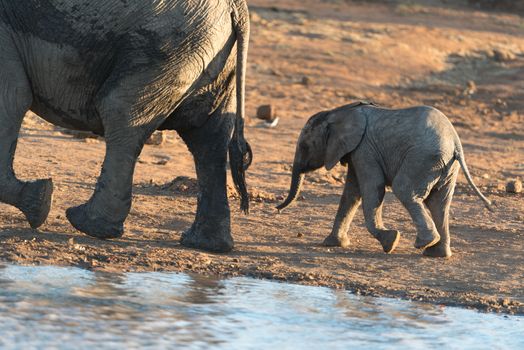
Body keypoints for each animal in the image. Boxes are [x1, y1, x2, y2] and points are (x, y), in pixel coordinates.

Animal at [0, 0, 252, 252]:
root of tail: (237, 8)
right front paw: (38, 202)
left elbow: (14, 97)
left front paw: (39, 202)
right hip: (206, 57)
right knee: (209, 142)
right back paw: (206, 244)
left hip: (166, 48)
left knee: (122, 114)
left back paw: (86, 223)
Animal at [278, 101, 492, 258]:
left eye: (305, 146)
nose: (277, 208)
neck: (337, 112)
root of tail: (456, 144)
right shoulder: (357, 151)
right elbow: (352, 193)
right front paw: (332, 243)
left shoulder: (365, 149)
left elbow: (373, 189)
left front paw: (391, 241)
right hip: (445, 167)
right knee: (439, 204)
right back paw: (436, 253)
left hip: (422, 159)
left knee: (404, 190)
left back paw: (424, 243)